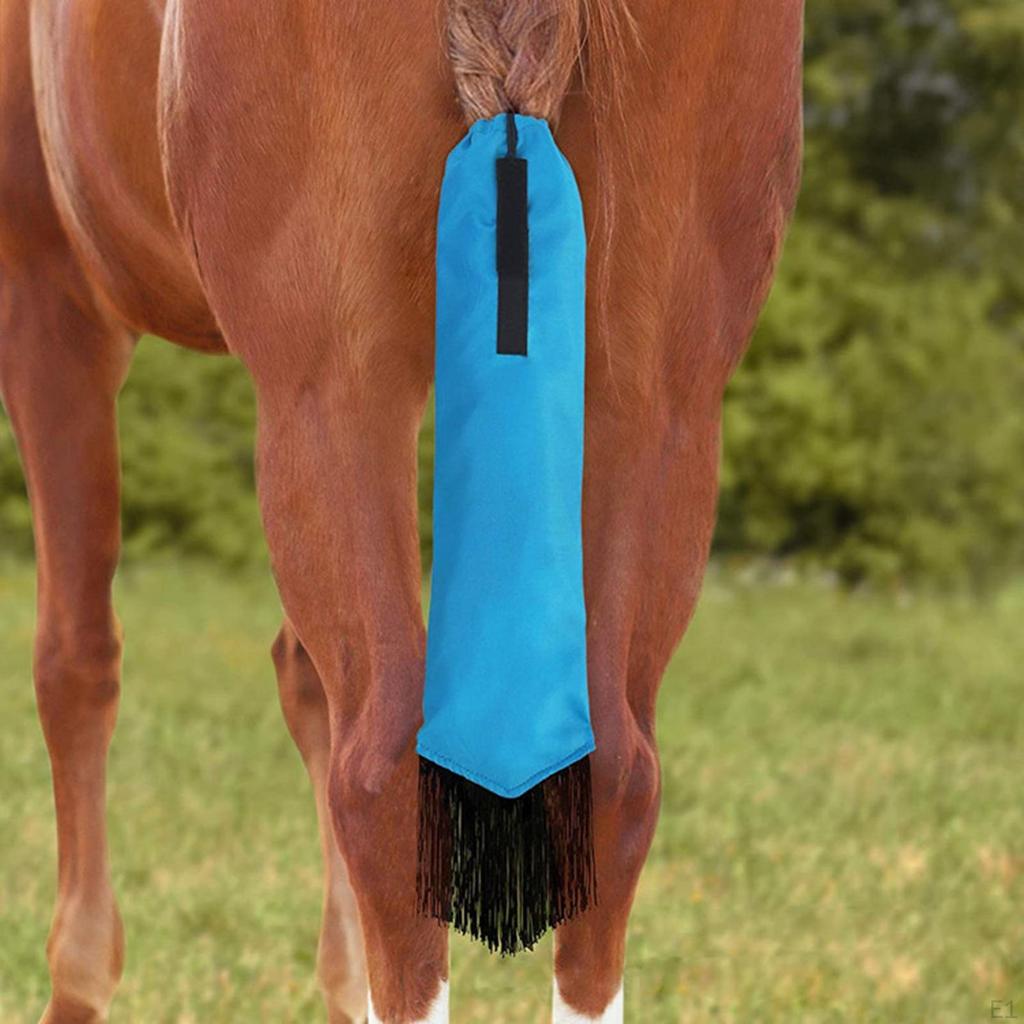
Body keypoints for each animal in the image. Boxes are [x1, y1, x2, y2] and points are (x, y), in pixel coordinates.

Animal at [0, 1, 803, 1021]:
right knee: (614, 775)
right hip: (658, 397)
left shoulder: (47, 296)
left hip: (329, 386)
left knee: (380, 774)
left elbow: (73, 662)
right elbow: (301, 676)